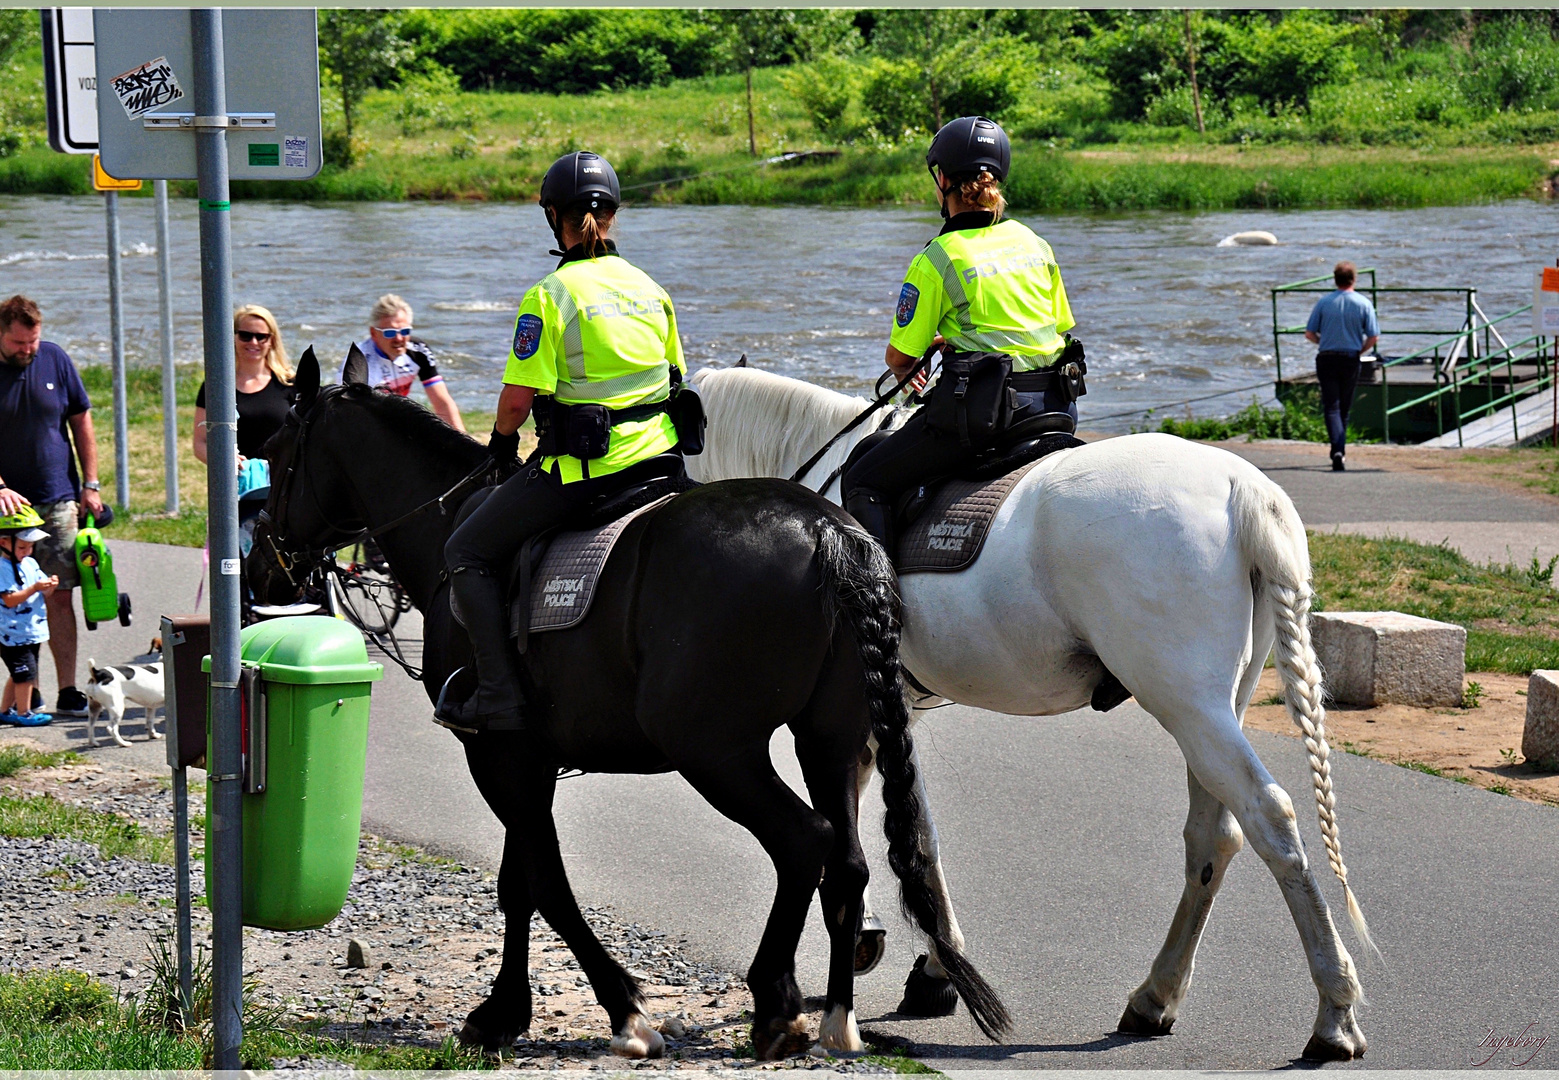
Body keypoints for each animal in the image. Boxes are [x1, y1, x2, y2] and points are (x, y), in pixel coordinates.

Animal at [243, 349, 997, 1059]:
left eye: (275, 451)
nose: (263, 569)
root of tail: (825, 532)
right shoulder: (524, 757)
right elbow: (520, 880)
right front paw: (505, 1011)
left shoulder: (499, 755)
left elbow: (544, 882)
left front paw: (616, 1012)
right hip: (829, 739)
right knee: (845, 862)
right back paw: (838, 1018)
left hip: (714, 751)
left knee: (802, 841)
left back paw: (778, 1007)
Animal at [689, 366, 1384, 1059]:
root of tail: (1245, 490)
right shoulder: (886, 719)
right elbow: (901, 827)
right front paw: (922, 959)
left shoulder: (856, 721)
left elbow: (893, 830)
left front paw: (909, 952)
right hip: (1216, 710)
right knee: (1214, 837)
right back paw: (1156, 996)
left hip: (1189, 705)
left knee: (1272, 820)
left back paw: (1334, 1012)